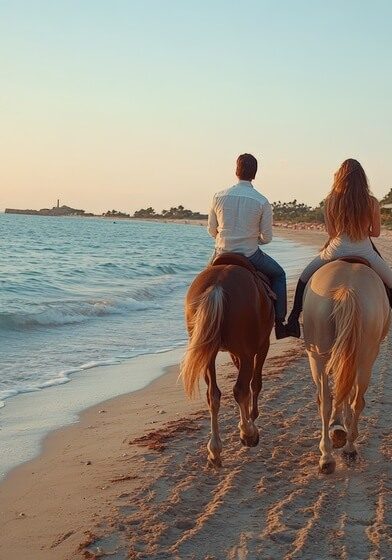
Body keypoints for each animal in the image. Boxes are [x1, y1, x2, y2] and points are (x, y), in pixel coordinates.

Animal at [180, 256, 272, 466]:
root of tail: (218, 285)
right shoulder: (261, 346)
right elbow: (255, 384)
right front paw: (251, 420)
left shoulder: (236, 353)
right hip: (246, 353)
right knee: (240, 389)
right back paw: (248, 434)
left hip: (208, 355)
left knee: (213, 395)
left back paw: (215, 450)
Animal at [304, 260, 388, 472]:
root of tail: (347, 288)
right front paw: (341, 426)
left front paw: (338, 426)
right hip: (365, 358)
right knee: (355, 400)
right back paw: (348, 447)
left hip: (318, 359)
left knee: (326, 401)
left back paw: (327, 456)